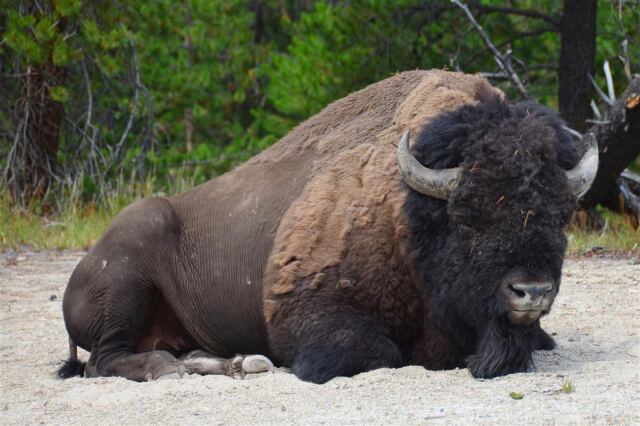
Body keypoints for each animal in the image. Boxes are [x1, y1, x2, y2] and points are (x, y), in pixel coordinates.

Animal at [58, 70, 597, 383]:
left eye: (561, 216)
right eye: (465, 216)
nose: (531, 292)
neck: (408, 215)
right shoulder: (315, 315)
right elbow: (379, 354)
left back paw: (237, 362)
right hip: (124, 282)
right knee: (105, 360)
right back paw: (168, 368)